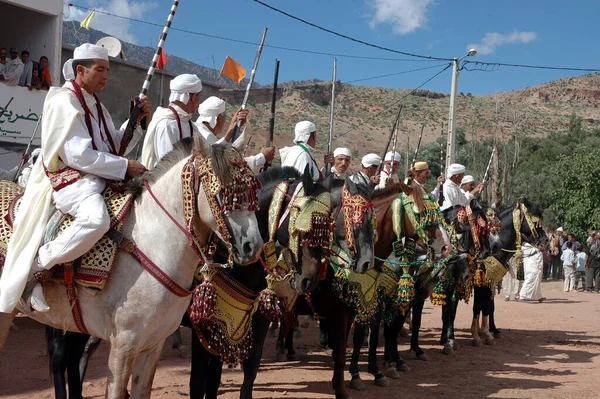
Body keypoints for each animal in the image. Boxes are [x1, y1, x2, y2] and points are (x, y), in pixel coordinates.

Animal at [0, 133, 262, 398]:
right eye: (223, 194)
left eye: (251, 191)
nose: (252, 246)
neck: (150, 243)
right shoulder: (124, 345)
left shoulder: (153, 344)